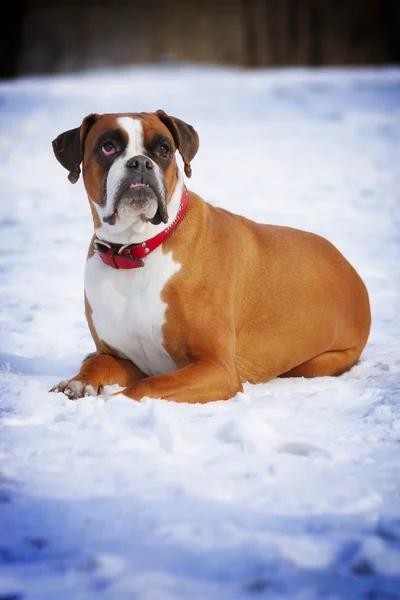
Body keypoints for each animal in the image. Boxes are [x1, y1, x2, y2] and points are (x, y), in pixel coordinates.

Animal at [50, 111, 372, 404]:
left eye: (163, 149)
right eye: (108, 147)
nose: (140, 162)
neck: (134, 250)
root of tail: (350, 269)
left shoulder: (215, 368)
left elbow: (146, 387)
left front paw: (111, 402)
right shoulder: (125, 358)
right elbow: (98, 362)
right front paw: (77, 383)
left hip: (317, 362)